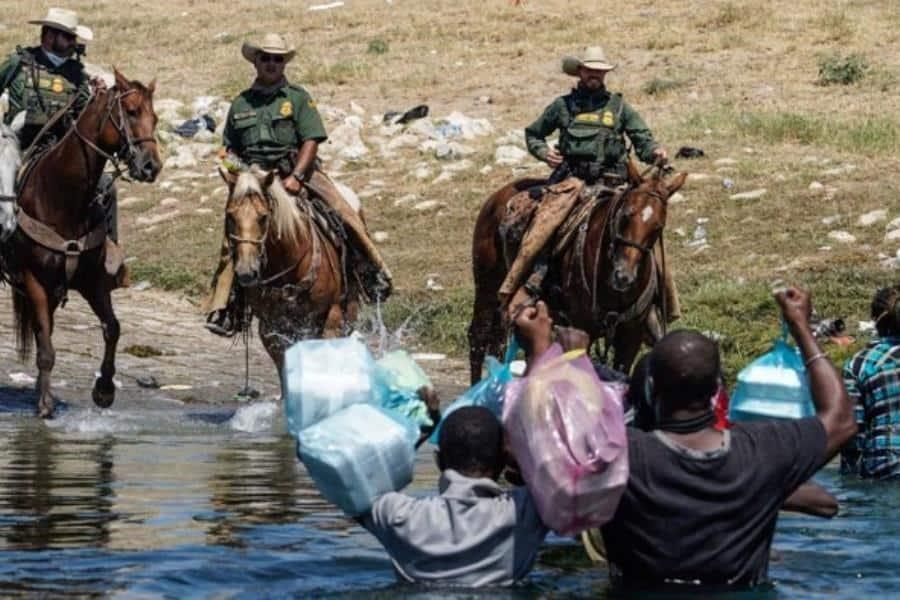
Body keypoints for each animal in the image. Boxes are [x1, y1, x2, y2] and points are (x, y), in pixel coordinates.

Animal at [8, 70, 162, 418]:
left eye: (156, 118)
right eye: (131, 111)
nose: (151, 166)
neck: (62, 197)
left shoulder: (92, 281)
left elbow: (112, 328)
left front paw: (104, 390)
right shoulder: (34, 280)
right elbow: (46, 346)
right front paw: (45, 405)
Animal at [468, 162, 684, 382]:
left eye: (658, 226)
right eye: (625, 216)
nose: (623, 276)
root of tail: (495, 198)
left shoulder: (631, 336)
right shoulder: (581, 329)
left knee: (499, 342)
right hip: (487, 286)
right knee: (479, 337)